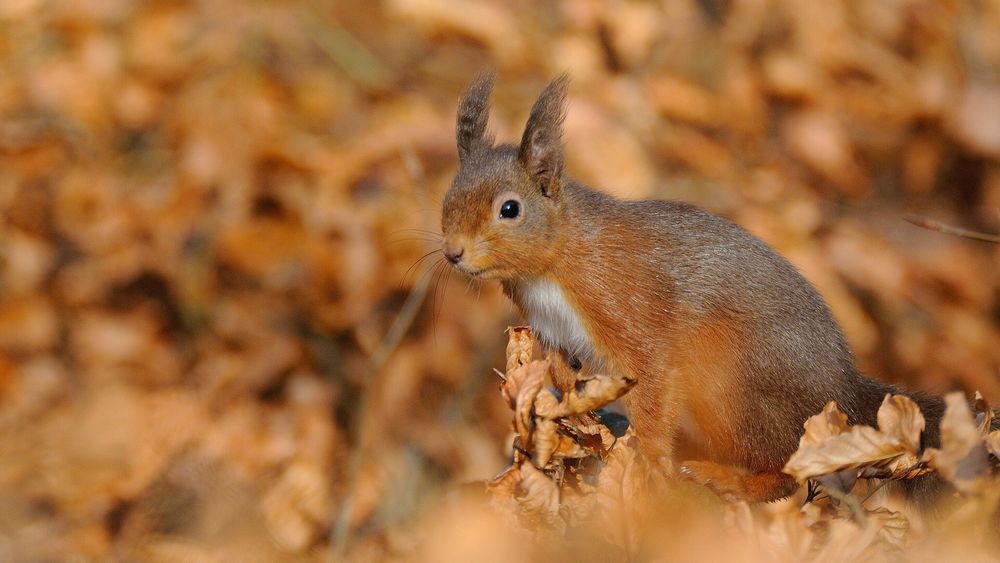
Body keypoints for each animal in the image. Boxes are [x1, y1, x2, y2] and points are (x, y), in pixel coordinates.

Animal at [440, 72, 952, 503]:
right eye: (448, 198)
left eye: (510, 209)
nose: (453, 252)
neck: (552, 265)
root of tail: (841, 391)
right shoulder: (553, 333)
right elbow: (564, 381)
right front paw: (569, 422)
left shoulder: (630, 308)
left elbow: (651, 384)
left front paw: (651, 461)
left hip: (731, 386)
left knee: (787, 472)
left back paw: (729, 478)